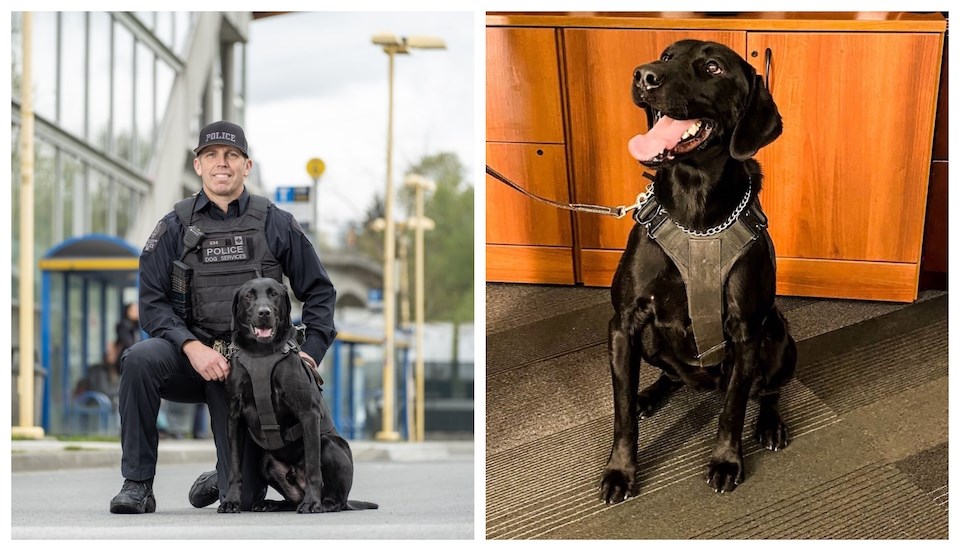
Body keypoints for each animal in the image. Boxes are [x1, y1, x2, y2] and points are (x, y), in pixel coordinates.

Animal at [218, 278, 378, 516]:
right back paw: (270, 503)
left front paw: (312, 504)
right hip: (265, 461)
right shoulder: (234, 418)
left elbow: (312, 467)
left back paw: (321, 504)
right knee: (292, 500)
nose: (264, 312)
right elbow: (235, 467)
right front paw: (231, 501)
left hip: (329, 445)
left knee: (336, 499)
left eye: (274, 294)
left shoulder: (308, 414)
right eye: (249, 295)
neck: (260, 353)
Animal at [600, 41, 796, 502]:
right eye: (666, 56)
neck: (695, 214)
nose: (644, 75)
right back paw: (649, 395)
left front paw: (726, 461)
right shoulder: (624, 325)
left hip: (780, 338)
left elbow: (733, 409)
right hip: (651, 342)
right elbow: (621, 413)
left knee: (767, 390)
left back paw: (770, 424)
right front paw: (621, 470)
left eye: (712, 67)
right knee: (670, 376)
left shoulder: (746, 332)